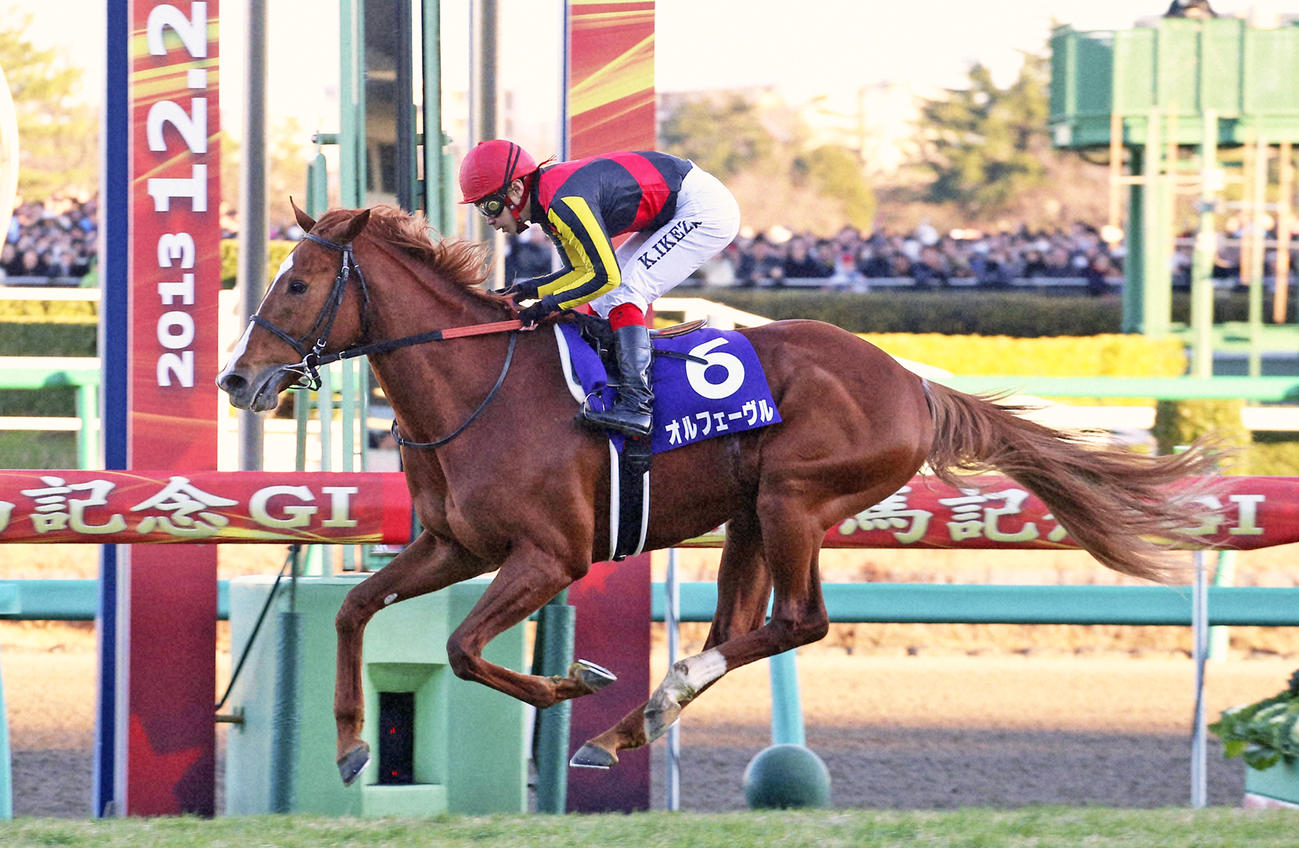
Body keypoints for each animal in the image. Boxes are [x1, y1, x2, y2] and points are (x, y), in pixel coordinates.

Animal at [217, 202, 1222, 784]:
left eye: (297, 282)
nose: (237, 380)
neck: (476, 387)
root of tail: (912, 381)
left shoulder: (550, 555)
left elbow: (464, 650)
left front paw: (568, 682)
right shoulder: (454, 544)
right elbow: (355, 609)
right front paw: (348, 744)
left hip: (793, 501)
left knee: (797, 622)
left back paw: (648, 702)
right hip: (748, 514)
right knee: (741, 625)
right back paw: (636, 722)